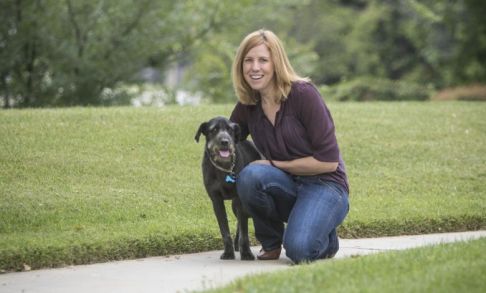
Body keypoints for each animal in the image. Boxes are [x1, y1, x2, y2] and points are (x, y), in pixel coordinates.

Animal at [195, 115, 262, 258]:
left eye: (230, 129)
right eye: (213, 130)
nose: (225, 142)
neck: (224, 168)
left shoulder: (240, 199)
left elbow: (244, 230)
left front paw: (246, 253)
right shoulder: (216, 200)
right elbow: (225, 230)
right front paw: (228, 253)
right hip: (234, 206)